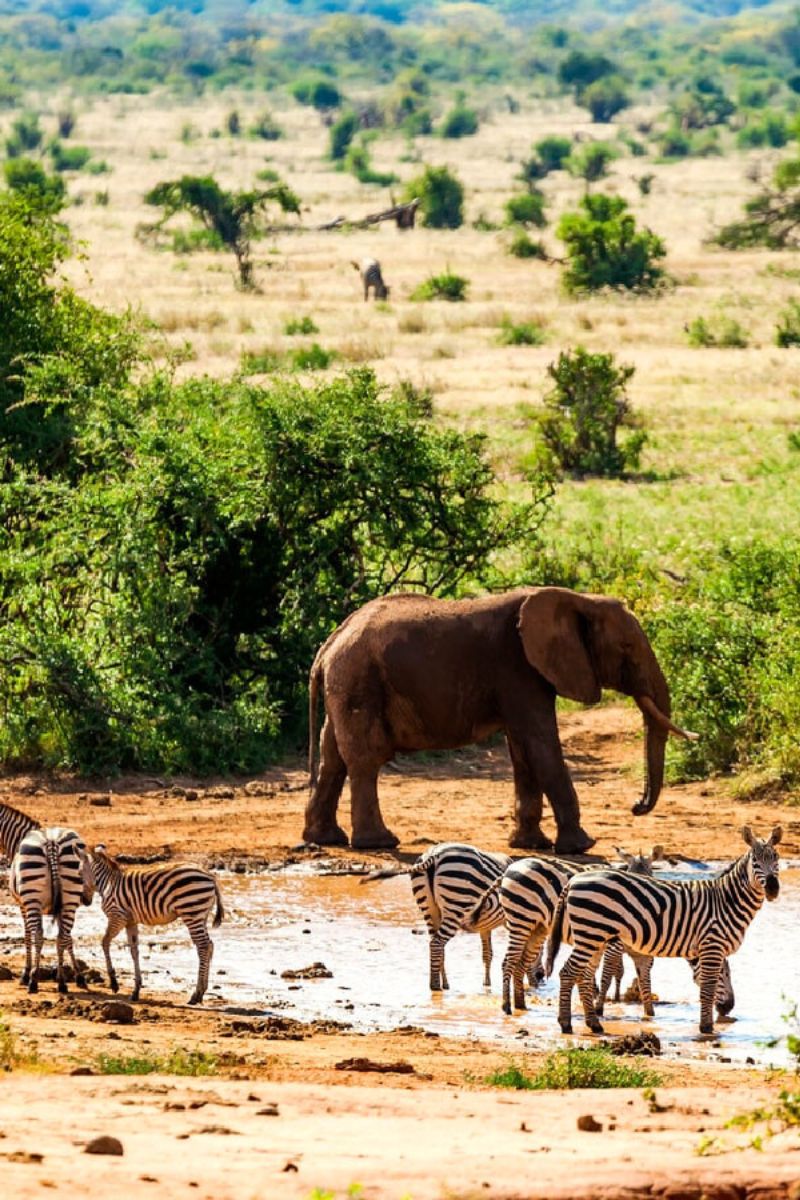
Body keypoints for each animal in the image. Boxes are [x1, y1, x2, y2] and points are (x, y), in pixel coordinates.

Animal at [9, 825, 94, 993]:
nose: (88, 900)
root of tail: (52, 841)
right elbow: (68, 940)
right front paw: (79, 977)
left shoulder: (22, 905)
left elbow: (27, 936)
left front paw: (26, 973)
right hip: (69, 899)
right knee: (62, 936)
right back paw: (61, 983)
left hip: (32, 898)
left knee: (38, 935)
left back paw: (33, 981)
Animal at [90, 849, 225, 1008]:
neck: (108, 881)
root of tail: (209, 875)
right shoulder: (130, 921)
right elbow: (134, 950)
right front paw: (135, 991)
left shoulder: (117, 917)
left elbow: (105, 942)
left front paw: (114, 983)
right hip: (201, 915)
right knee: (209, 945)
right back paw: (201, 992)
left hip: (191, 911)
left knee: (203, 946)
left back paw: (196, 995)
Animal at [299, 583, 695, 854]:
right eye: (627, 649)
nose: (636, 807)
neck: (579, 599)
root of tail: (326, 647)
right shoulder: (518, 668)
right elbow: (540, 745)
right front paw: (581, 846)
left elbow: (523, 751)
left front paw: (529, 845)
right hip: (359, 681)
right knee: (366, 759)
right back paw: (379, 843)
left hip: (347, 683)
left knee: (333, 758)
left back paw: (327, 839)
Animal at [362, 840, 513, 988]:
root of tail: (434, 854)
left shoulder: (485, 926)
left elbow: (488, 954)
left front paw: (487, 984)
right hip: (456, 903)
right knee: (437, 943)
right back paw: (435, 986)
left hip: (429, 909)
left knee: (436, 944)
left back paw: (443, 984)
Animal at [546, 820, 777, 1036]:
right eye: (755, 862)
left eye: (776, 860)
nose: (774, 888)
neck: (725, 901)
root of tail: (573, 881)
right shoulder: (712, 944)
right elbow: (708, 987)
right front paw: (706, 1028)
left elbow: (647, 977)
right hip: (590, 934)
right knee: (568, 972)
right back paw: (566, 1024)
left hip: (593, 938)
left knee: (583, 975)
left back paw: (594, 1024)